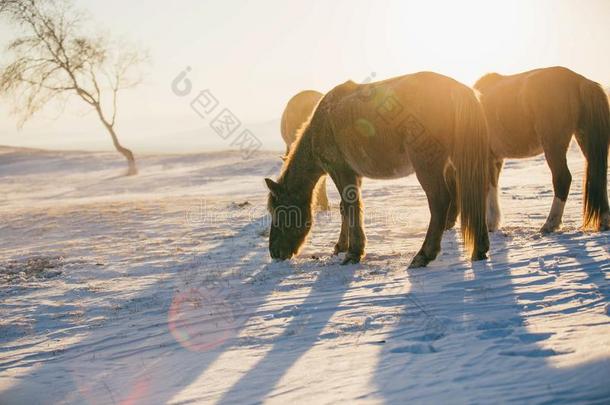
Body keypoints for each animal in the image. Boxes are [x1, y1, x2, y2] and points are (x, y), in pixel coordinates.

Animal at [264, 72, 486, 268]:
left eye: (279, 211)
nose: (275, 253)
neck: (322, 123)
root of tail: (456, 88)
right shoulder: (354, 175)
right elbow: (345, 208)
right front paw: (342, 246)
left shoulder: (340, 171)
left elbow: (351, 206)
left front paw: (353, 252)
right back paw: (480, 250)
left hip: (427, 164)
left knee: (439, 202)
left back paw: (423, 255)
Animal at [476, 66, 608, 232]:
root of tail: (579, 81)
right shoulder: (496, 158)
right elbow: (493, 186)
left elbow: (488, 188)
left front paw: (489, 223)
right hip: (585, 138)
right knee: (598, 175)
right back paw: (604, 221)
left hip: (553, 145)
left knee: (563, 178)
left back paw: (550, 224)